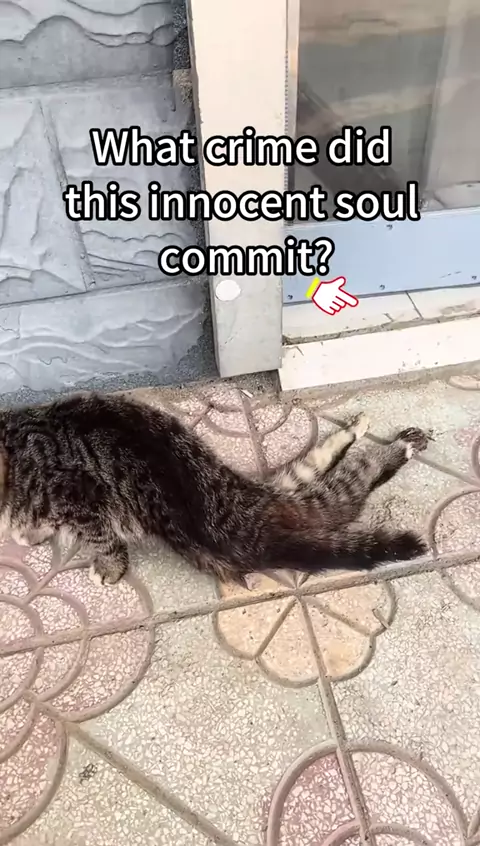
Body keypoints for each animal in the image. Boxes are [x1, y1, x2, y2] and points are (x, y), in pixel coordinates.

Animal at [0, 393, 430, 586]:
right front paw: (27, 531)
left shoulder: (81, 497)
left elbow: (102, 539)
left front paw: (109, 568)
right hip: (281, 490)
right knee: (318, 469)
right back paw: (359, 429)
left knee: (354, 485)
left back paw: (401, 447)